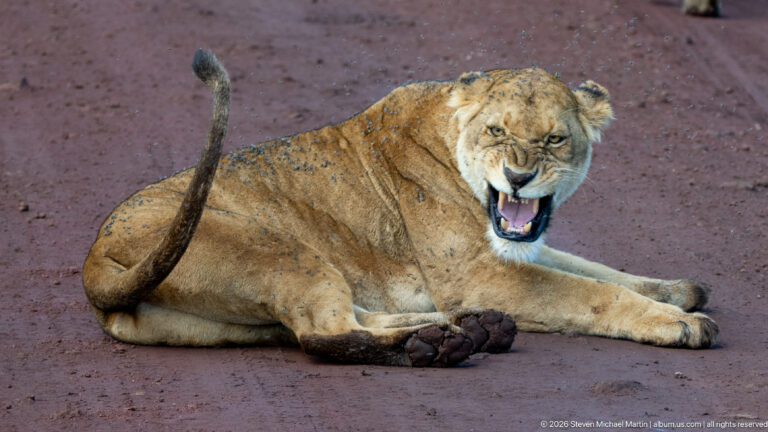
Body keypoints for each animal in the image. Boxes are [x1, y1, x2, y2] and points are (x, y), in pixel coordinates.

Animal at [82, 50, 718, 367]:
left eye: (554, 140)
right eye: (496, 131)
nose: (518, 177)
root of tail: (93, 262)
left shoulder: (504, 254)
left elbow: (595, 270)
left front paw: (678, 291)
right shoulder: (476, 273)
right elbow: (588, 292)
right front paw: (680, 322)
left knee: (339, 322)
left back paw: (466, 329)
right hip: (281, 250)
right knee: (324, 335)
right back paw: (444, 344)